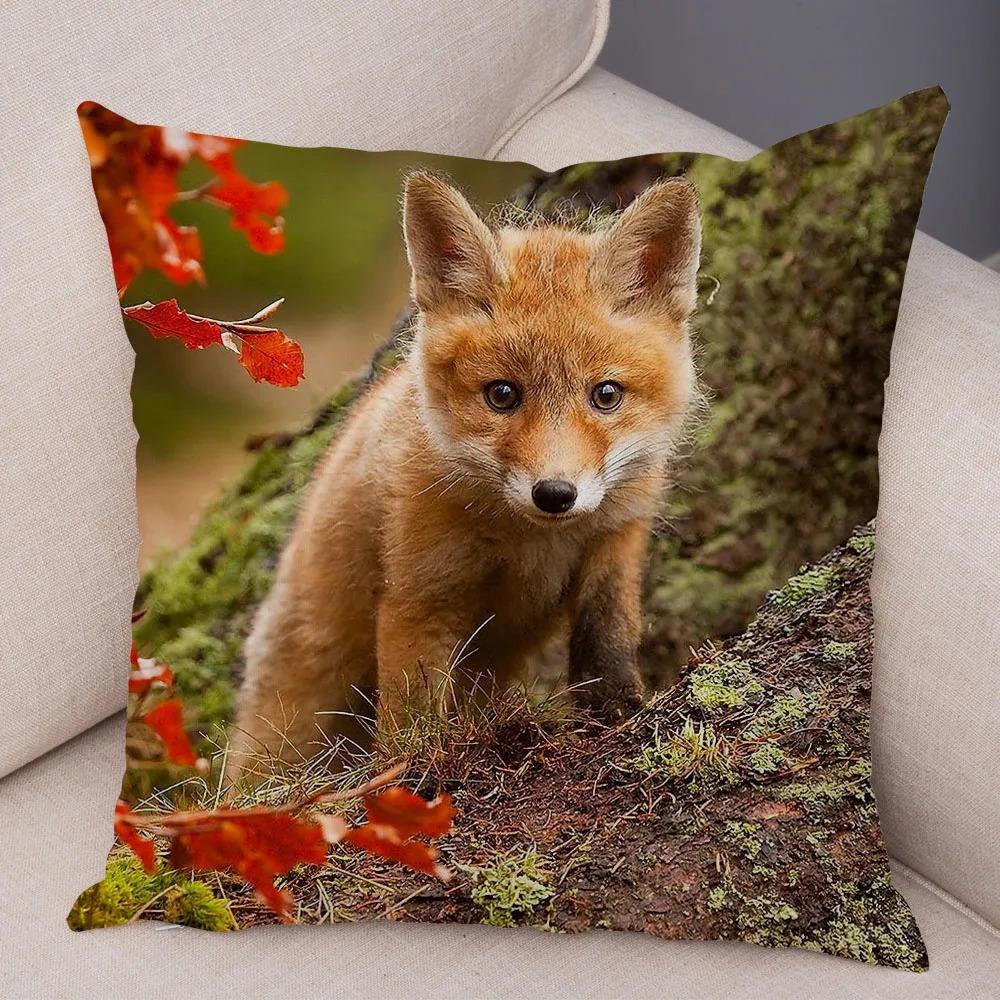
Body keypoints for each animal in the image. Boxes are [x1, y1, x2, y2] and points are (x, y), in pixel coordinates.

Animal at [230, 170, 701, 771]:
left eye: (606, 395)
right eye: (502, 395)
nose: (555, 494)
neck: (531, 543)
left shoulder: (616, 543)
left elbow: (608, 638)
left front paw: (617, 711)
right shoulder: (420, 594)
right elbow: (410, 714)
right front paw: (413, 770)